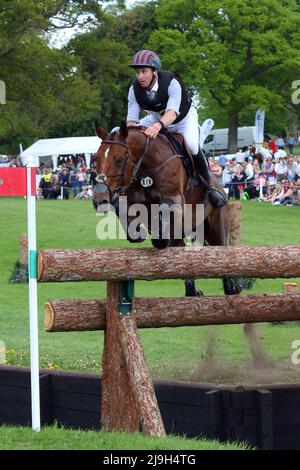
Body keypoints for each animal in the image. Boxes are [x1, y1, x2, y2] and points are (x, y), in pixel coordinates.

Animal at [93, 122, 241, 298]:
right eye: (96, 158)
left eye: (119, 159)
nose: (99, 198)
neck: (146, 167)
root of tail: (219, 185)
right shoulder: (131, 200)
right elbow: (123, 212)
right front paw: (139, 233)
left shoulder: (174, 199)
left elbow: (162, 226)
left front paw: (159, 236)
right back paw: (193, 291)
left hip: (215, 226)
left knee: (221, 250)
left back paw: (231, 287)